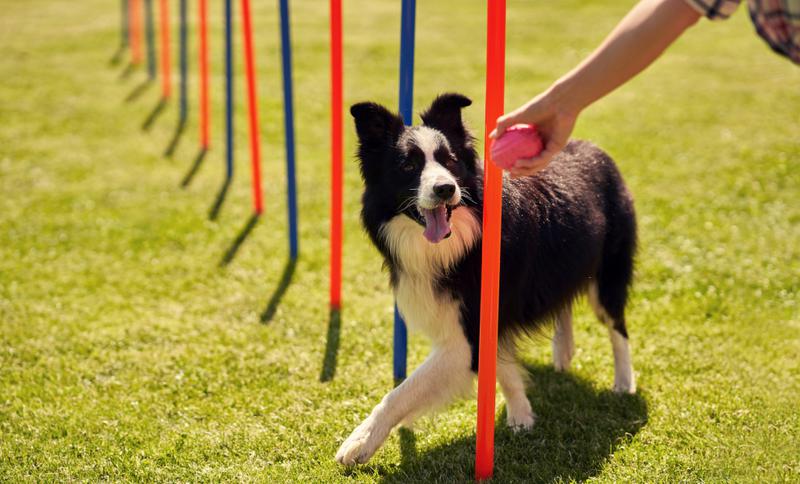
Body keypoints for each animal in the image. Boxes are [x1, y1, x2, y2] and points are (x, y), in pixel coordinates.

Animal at [338, 93, 636, 466]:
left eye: (450, 161)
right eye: (408, 166)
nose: (445, 188)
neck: (458, 244)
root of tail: (592, 147)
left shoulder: (466, 335)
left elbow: (403, 392)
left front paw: (359, 441)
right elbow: (502, 367)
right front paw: (521, 414)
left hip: (609, 271)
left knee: (617, 326)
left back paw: (624, 382)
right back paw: (564, 351)